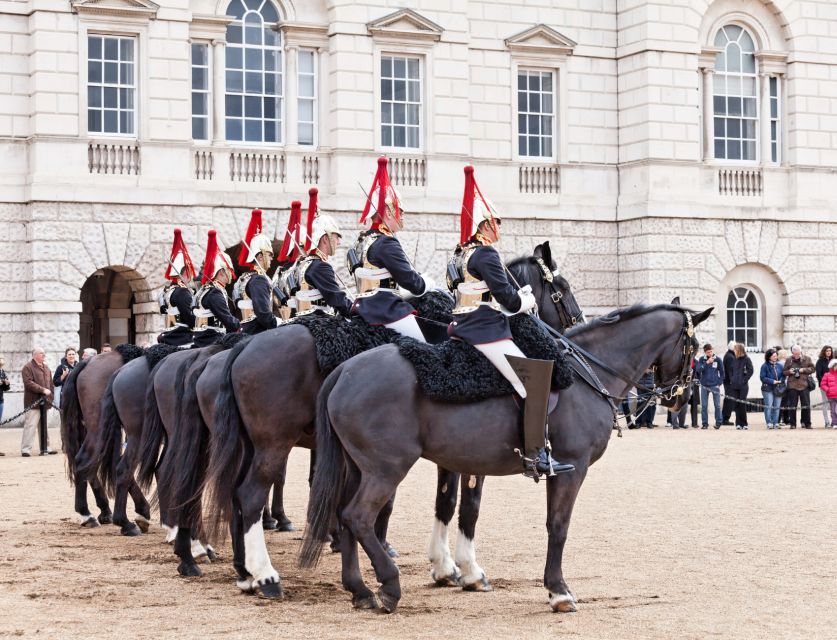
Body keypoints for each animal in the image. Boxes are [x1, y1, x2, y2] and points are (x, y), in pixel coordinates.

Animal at [304, 302, 708, 612]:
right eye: (693, 347)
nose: (682, 398)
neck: (587, 373)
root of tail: (346, 369)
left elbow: (468, 510)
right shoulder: (571, 468)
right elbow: (558, 527)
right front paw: (558, 591)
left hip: (359, 469)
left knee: (344, 517)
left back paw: (360, 590)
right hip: (386, 470)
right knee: (358, 517)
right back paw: (389, 586)